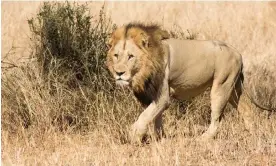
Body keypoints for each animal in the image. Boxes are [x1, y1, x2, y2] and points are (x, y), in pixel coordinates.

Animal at [105, 23, 274, 143]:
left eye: (131, 56)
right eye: (116, 55)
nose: (119, 73)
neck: (144, 70)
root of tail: (237, 53)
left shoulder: (162, 95)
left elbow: (146, 115)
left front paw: (134, 134)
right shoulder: (152, 95)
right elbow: (155, 116)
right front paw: (160, 138)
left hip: (221, 86)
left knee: (216, 118)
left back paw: (203, 138)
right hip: (234, 88)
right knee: (247, 110)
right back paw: (252, 133)